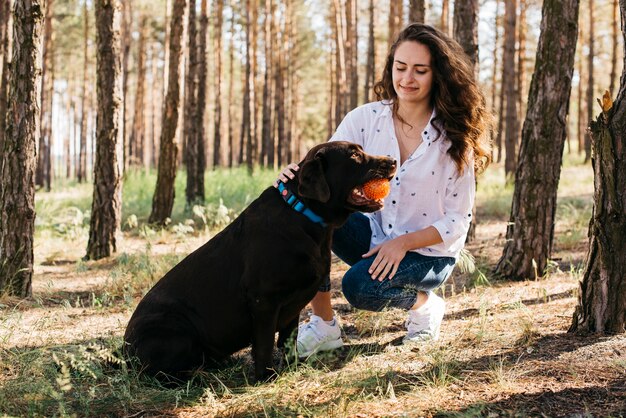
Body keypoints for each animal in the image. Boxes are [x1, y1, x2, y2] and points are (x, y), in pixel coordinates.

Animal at [123, 141, 394, 382]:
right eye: (354, 155)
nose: (392, 160)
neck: (303, 215)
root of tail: (124, 351)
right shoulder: (264, 300)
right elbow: (264, 343)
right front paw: (266, 376)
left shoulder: (293, 305)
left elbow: (288, 340)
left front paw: (293, 367)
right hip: (177, 331)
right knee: (161, 374)